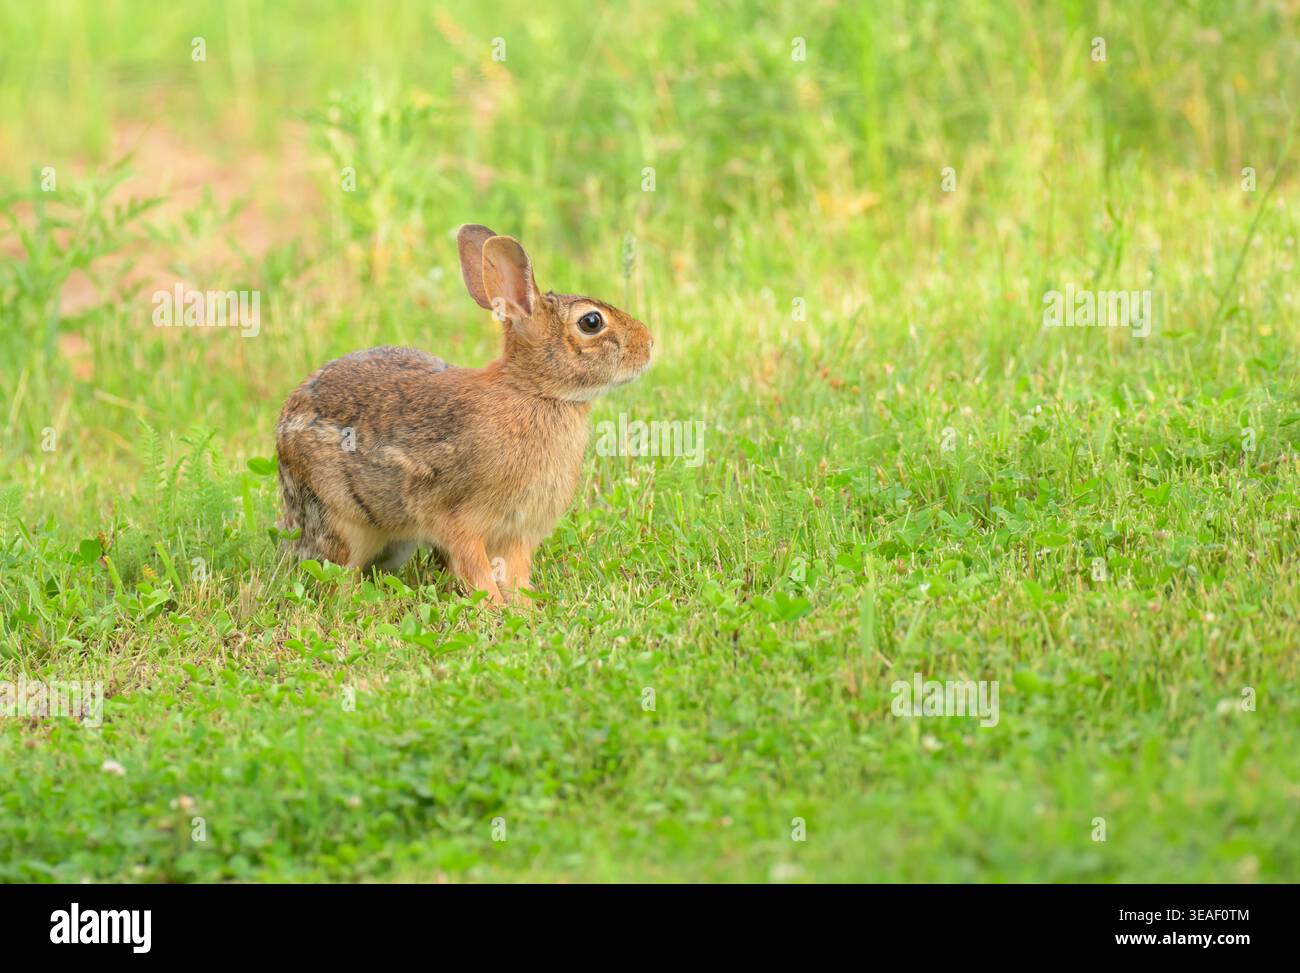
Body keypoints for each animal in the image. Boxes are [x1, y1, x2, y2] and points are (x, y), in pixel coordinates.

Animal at [275, 225, 654, 605]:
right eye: (591, 322)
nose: (650, 343)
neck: (535, 391)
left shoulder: (517, 533)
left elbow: (515, 576)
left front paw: (524, 609)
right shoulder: (458, 521)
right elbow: (475, 569)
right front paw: (494, 608)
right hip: (340, 519)